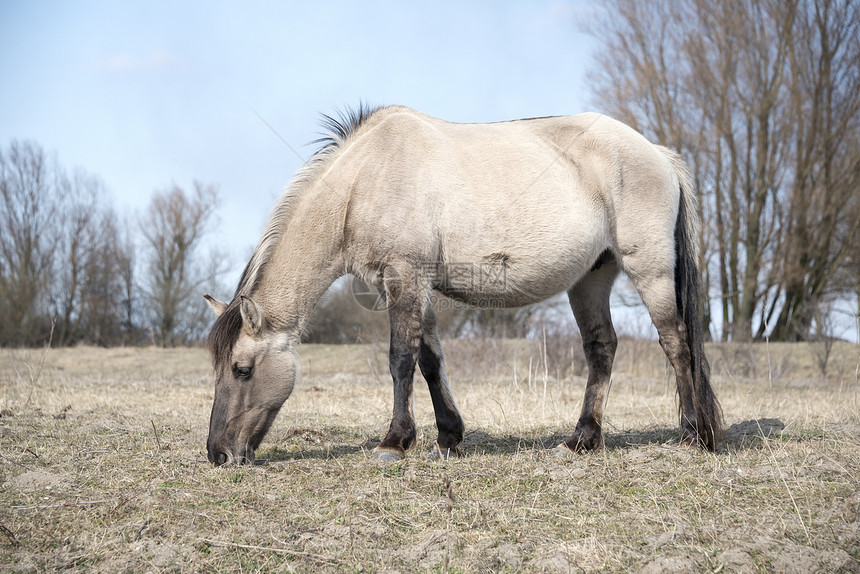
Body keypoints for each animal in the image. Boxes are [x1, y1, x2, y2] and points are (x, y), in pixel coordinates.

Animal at [205, 106, 724, 468]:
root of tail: (658, 153)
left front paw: (394, 442)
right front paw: (448, 437)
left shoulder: (405, 277)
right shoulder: (410, 286)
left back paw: (694, 436)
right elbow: (430, 359)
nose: (218, 454)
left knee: (676, 341)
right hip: (591, 278)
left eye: (242, 369)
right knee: (602, 348)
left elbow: (401, 358)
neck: (366, 177)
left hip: (650, 269)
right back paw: (581, 441)